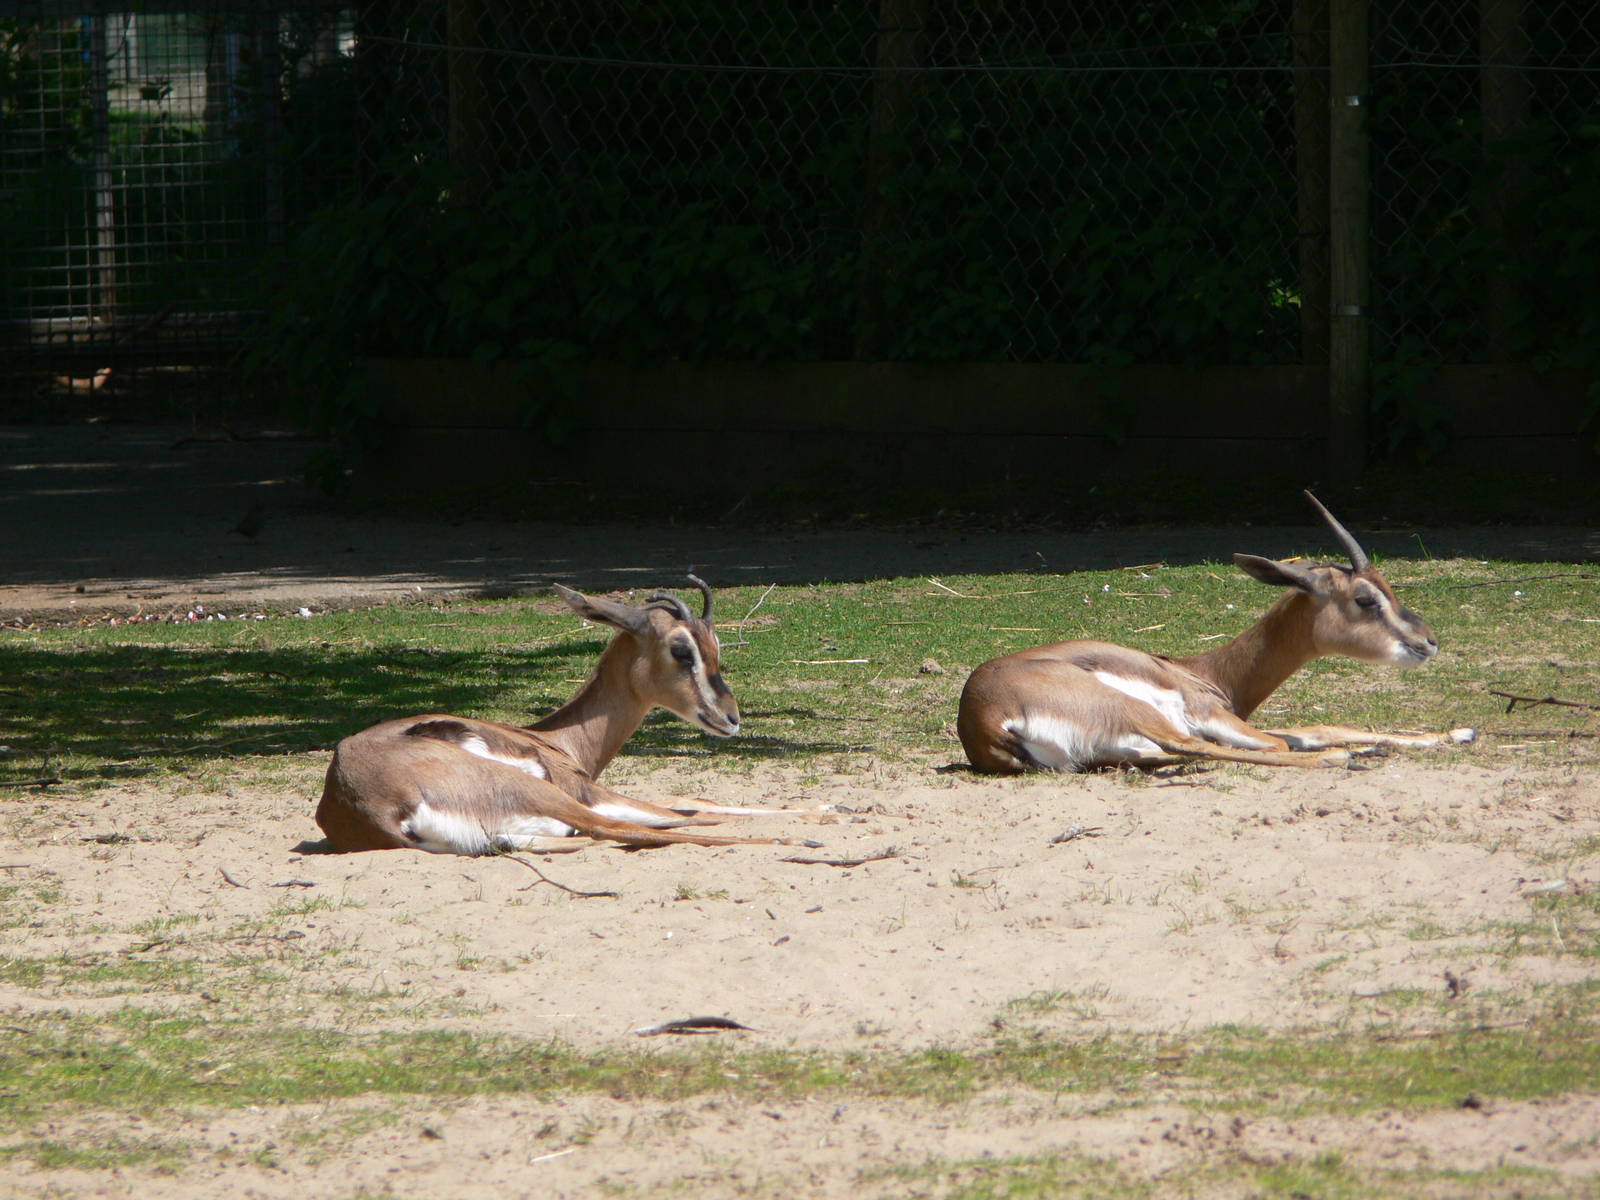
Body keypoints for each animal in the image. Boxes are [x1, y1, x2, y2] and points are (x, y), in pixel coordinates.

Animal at [315, 577, 806, 852]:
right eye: (681, 650)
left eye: (716, 646)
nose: (730, 717)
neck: (555, 740)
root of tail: (363, 801)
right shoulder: (586, 791)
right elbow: (691, 810)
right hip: (548, 796)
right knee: (628, 827)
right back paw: (796, 841)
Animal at [957, 493, 1476, 773]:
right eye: (1366, 599)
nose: (1428, 641)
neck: (1207, 672)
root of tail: (982, 717)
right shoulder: (1212, 716)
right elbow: (1290, 739)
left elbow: (1322, 727)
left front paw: (1459, 732)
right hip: (1139, 715)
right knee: (1196, 747)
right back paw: (1338, 760)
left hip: (1122, 747)